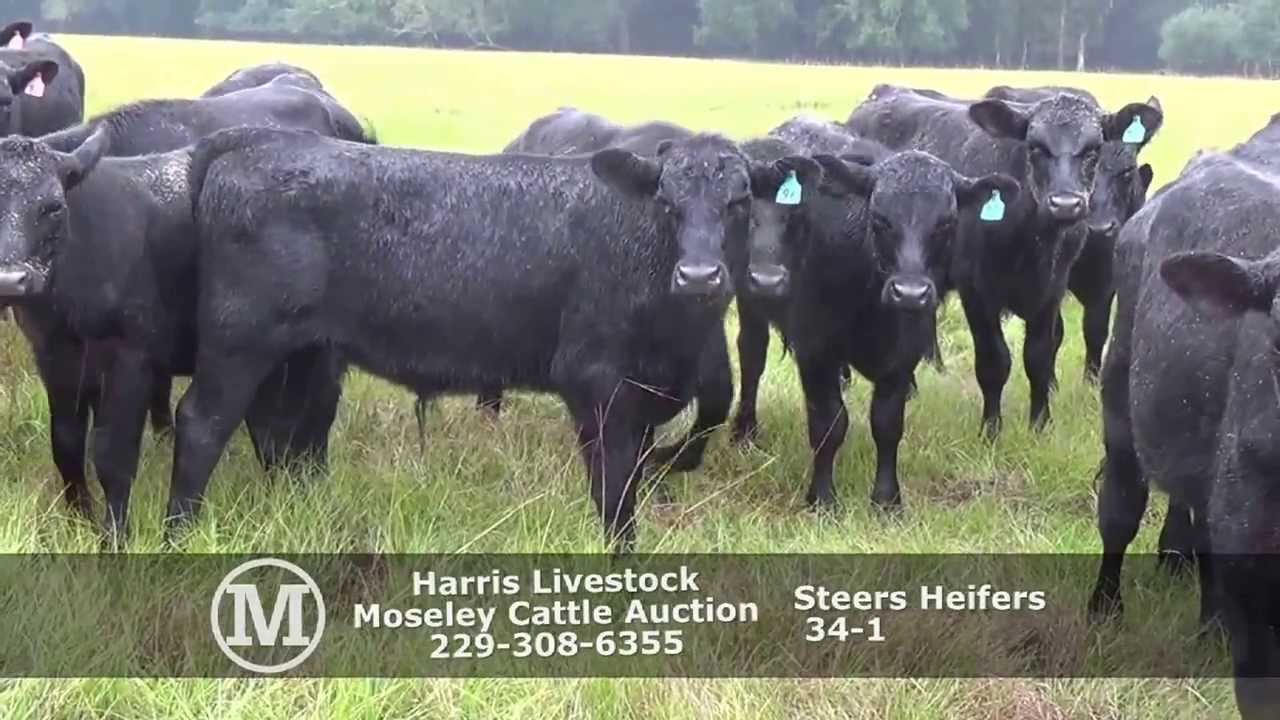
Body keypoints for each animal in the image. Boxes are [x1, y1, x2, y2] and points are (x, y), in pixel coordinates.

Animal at [178, 127, 817, 550]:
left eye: (740, 201)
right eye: (666, 200)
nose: (700, 276)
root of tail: (254, 145)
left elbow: (667, 449)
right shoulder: (596, 383)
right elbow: (614, 488)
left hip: (298, 354)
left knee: (274, 429)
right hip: (239, 343)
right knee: (201, 424)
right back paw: (176, 533)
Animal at [731, 134, 1018, 510]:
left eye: (946, 223)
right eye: (880, 219)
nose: (910, 293)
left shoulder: (903, 355)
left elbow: (886, 423)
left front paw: (886, 499)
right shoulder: (814, 349)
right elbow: (829, 424)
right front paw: (822, 497)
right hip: (751, 302)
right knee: (751, 357)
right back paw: (745, 430)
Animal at [847, 86, 1163, 438]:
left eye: (1093, 149)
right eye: (1035, 146)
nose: (1066, 203)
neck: (1031, 240)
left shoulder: (1052, 289)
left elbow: (1040, 356)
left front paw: (1040, 424)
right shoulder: (977, 293)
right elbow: (994, 362)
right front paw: (991, 430)